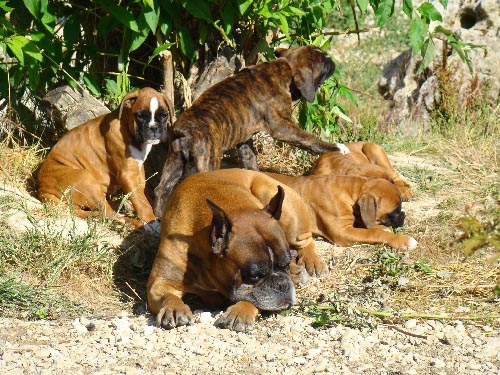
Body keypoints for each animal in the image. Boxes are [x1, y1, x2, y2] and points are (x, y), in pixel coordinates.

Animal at [37, 87, 174, 229]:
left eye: (164, 115)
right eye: (140, 116)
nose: (154, 128)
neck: (126, 126)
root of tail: (44, 190)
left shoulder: (138, 170)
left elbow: (140, 196)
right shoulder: (128, 175)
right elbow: (141, 203)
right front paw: (153, 224)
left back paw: (124, 205)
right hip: (86, 179)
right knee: (108, 214)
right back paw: (130, 222)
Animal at [147, 170, 328, 332]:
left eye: (285, 264)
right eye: (254, 276)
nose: (281, 284)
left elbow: (252, 299)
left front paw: (240, 312)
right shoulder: (160, 282)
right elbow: (167, 295)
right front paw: (174, 308)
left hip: (285, 213)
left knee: (307, 240)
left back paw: (310, 263)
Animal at [154, 46, 350, 217]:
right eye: (324, 63)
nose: (332, 61)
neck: (285, 68)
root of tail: (185, 131)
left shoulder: (245, 140)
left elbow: (251, 162)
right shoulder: (282, 127)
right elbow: (309, 139)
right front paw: (336, 147)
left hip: (174, 161)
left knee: (161, 190)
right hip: (207, 162)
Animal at [266, 174, 418, 251]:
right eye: (395, 211)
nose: (404, 215)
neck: (350, 191)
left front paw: (382, 227)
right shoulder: (343, 232)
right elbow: (372, 233)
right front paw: (402, 240)